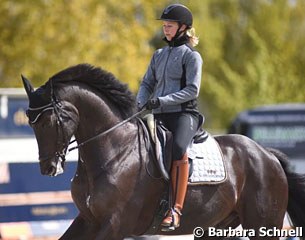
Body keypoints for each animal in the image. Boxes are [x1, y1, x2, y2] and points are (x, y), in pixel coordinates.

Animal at [22, 64, 304, 240]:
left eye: (49, 121)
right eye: (31, 122)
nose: (48, 168)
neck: (112, 151)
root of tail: (267, 155)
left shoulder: (114, 224)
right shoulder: (88, 219)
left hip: (263, 224)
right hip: (219, 226)